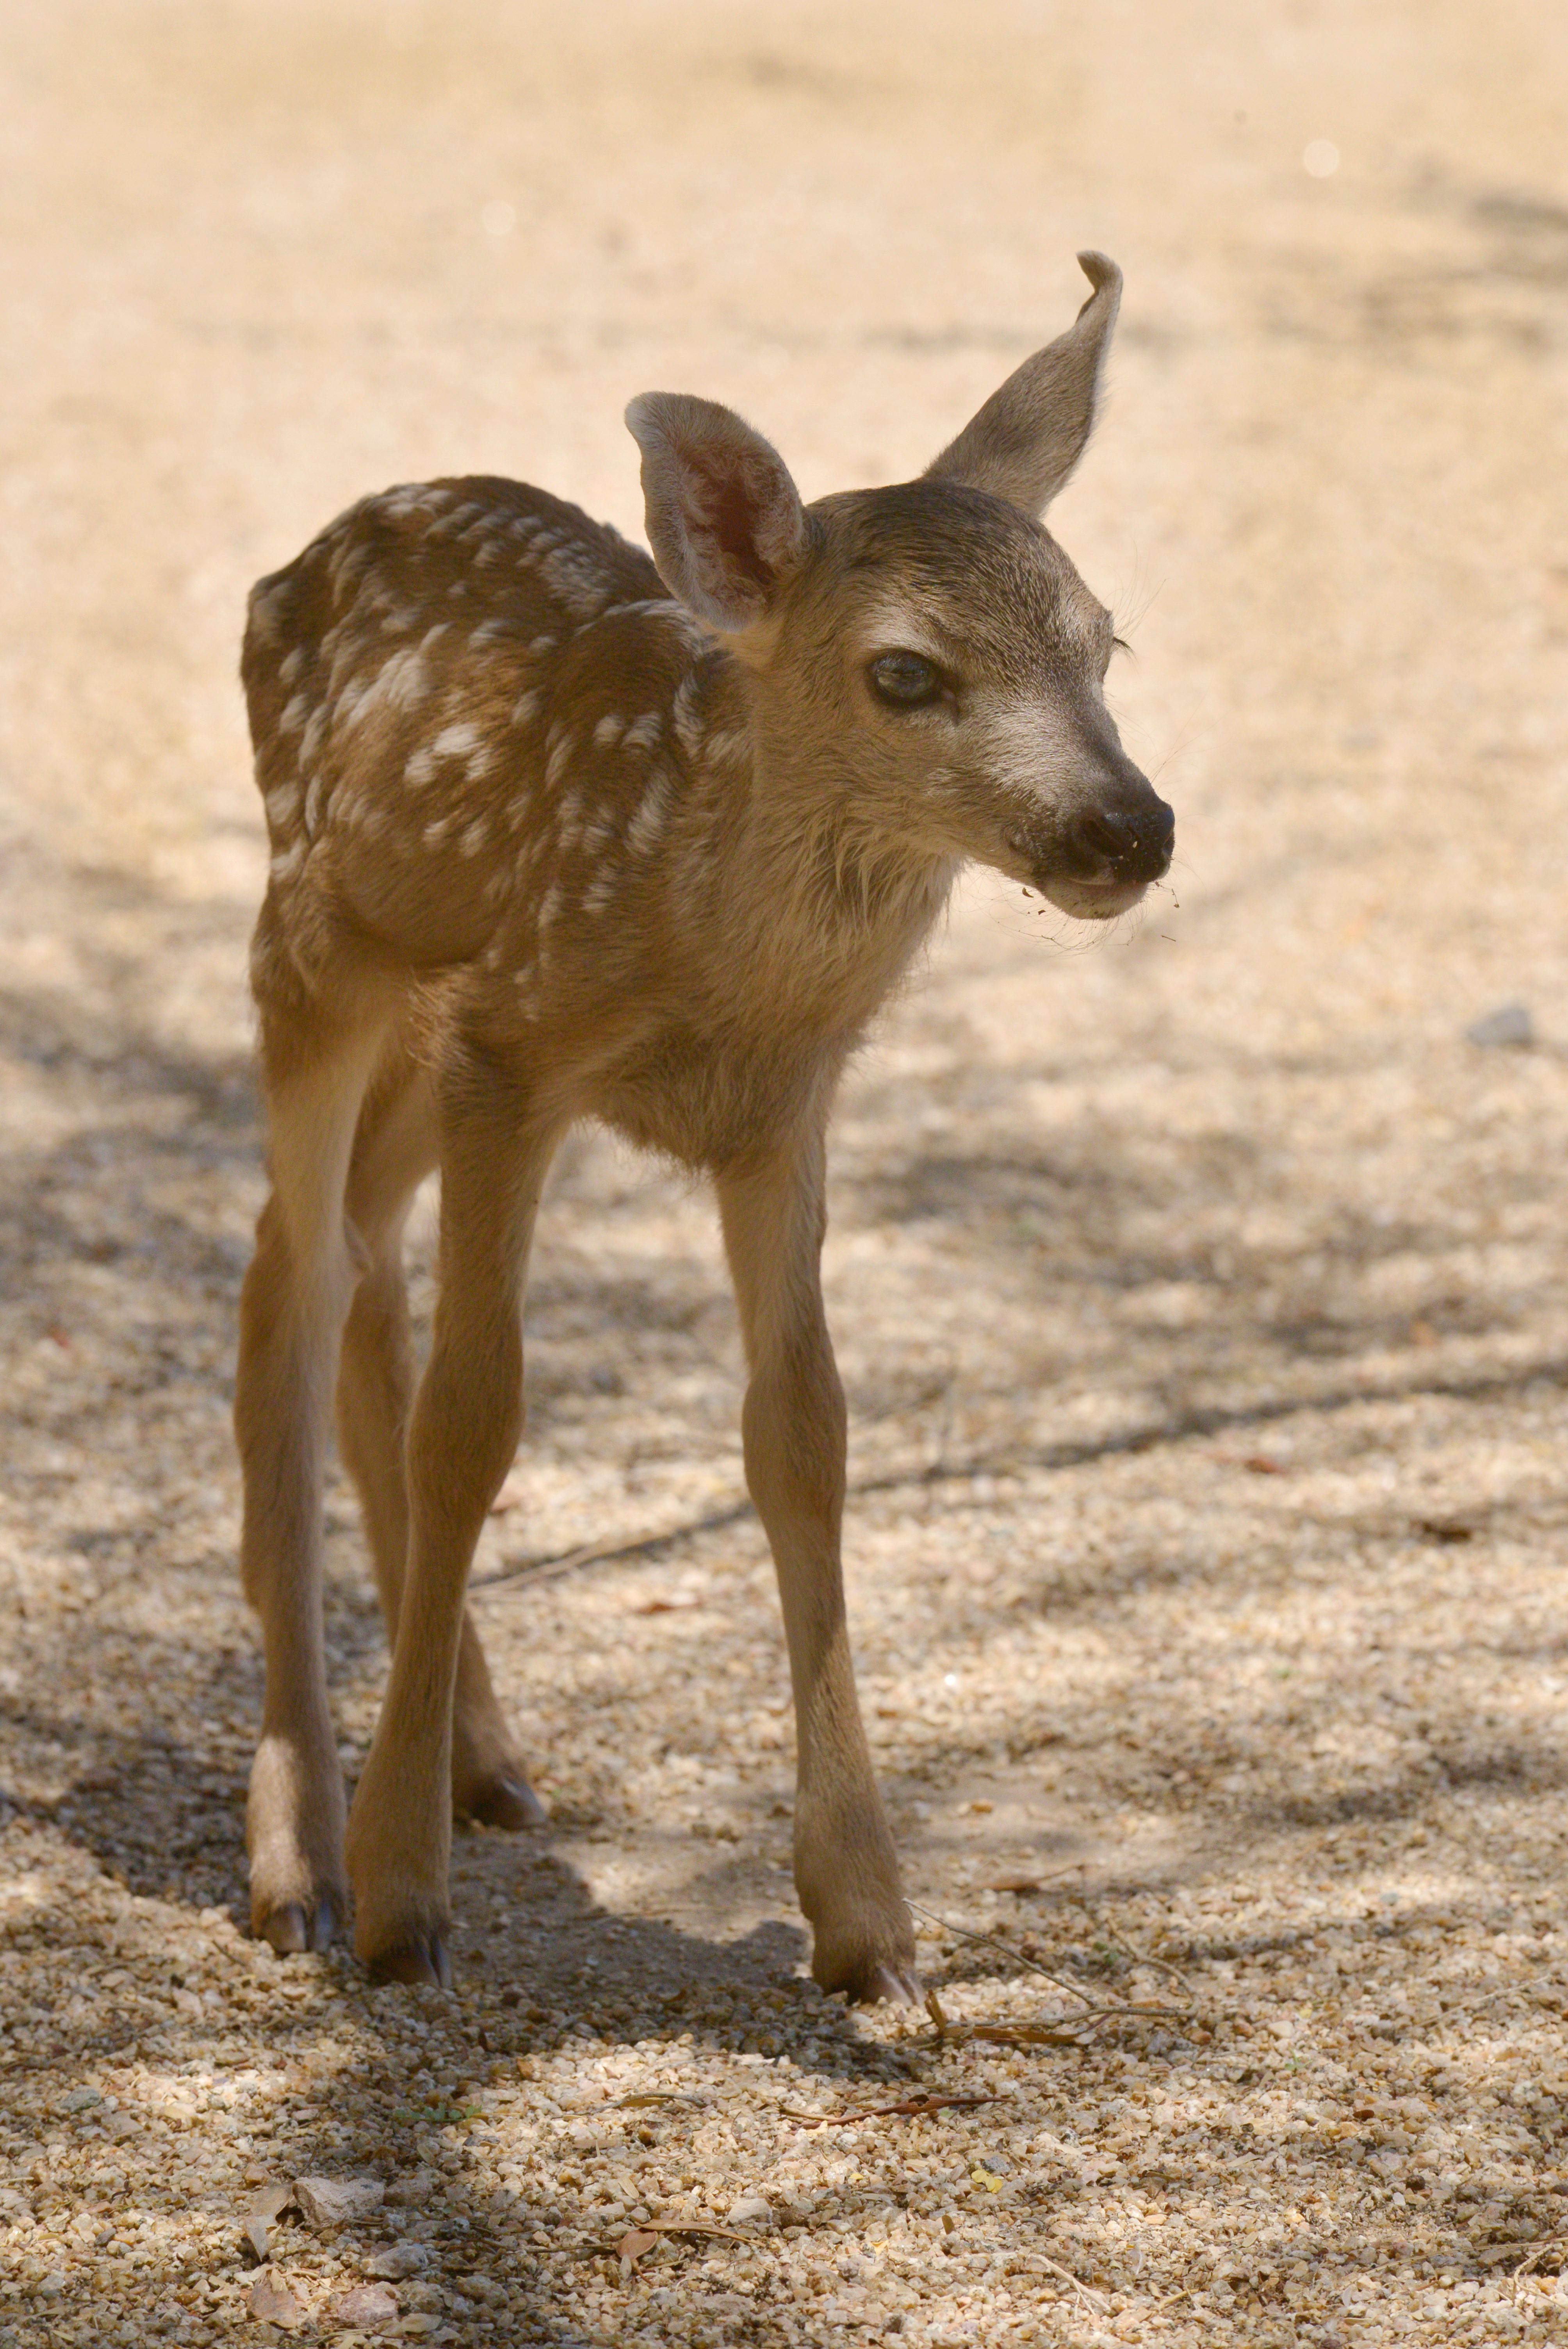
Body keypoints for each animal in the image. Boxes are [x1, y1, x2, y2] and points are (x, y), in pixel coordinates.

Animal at [236, 257, 1173, 2001]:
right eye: (901, 670)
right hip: (317, 949)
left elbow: (802, 1430)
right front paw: (402, 1906)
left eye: (1103, 640)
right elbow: (474, 1421)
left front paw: (869, 1924)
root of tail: (303, 557)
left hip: (413, 1019)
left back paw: (481, 1758)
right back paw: (300, 1861)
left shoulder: (784, 1105)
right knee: (295, 1277)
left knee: (359, 1262)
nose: (1125, 826)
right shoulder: (513, 1051)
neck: (698, 936)